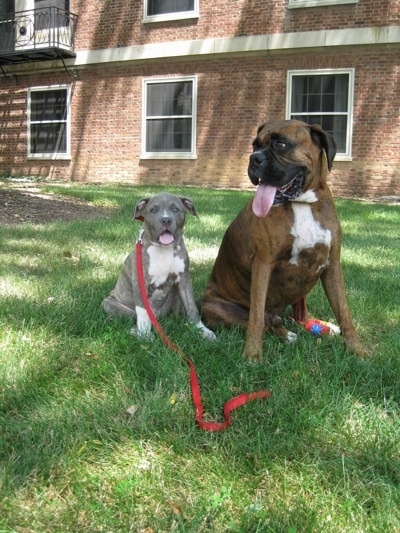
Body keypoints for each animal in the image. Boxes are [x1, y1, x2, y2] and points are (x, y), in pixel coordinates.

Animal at [103, 193, 216, 338]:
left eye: (175, 209)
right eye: (153, 210)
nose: (166, 220)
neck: (164, 249)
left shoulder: (184, 279)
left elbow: (191, 306)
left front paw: (202, 330)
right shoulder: (140, 281)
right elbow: (142, 311)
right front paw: (145, 335)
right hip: (109, 304)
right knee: (132, 316)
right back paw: (135, 330)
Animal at [202, 119, 364, 362]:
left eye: (281, 144)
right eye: (255, 145)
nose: (254, 158)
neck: (302, 203)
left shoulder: (331, 265)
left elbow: (344, 311)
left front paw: (358, 349)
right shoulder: (263, 264)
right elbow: (256, 316)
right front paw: (252, 354)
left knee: (294, 314)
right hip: (213, 307)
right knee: (264, 320)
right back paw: (285, 334)